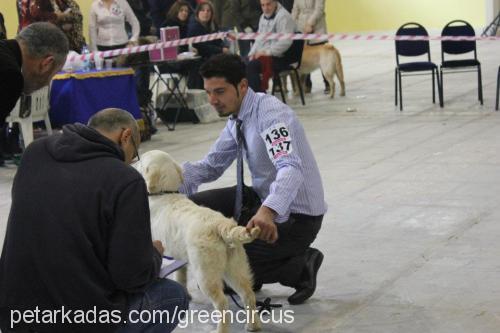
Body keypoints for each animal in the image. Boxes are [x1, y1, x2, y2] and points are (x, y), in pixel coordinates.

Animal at [135, 150, 264, 332]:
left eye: (141, 162)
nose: (132, 164)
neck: (164, 194)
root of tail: (221, 225)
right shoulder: (181, 257)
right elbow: (180, 276)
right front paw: (186, 294)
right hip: (235, 268)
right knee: (248, 294)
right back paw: (253, 325)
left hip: (205, 274)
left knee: (222, 303)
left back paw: (221, 329)